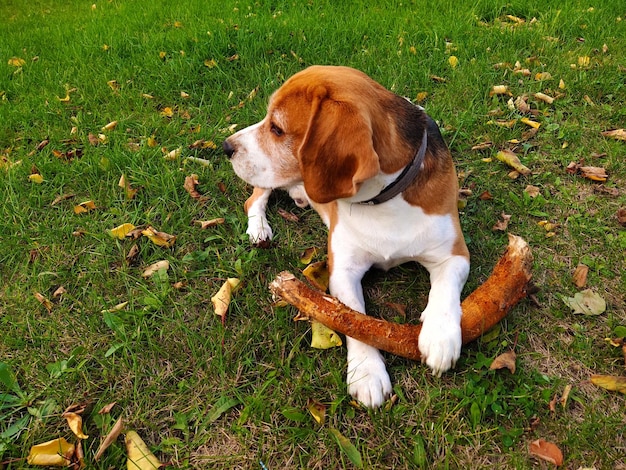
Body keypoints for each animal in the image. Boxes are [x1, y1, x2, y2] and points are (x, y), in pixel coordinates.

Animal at [222, 66, 466, 408]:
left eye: (278, 129)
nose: (226, 146)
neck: (385, 201)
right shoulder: (342, 271)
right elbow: (354, 320)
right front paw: (367, 373)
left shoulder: (454, 254)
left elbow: (444, 291)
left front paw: (440, 337)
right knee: (254, 198)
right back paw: (258, 228)